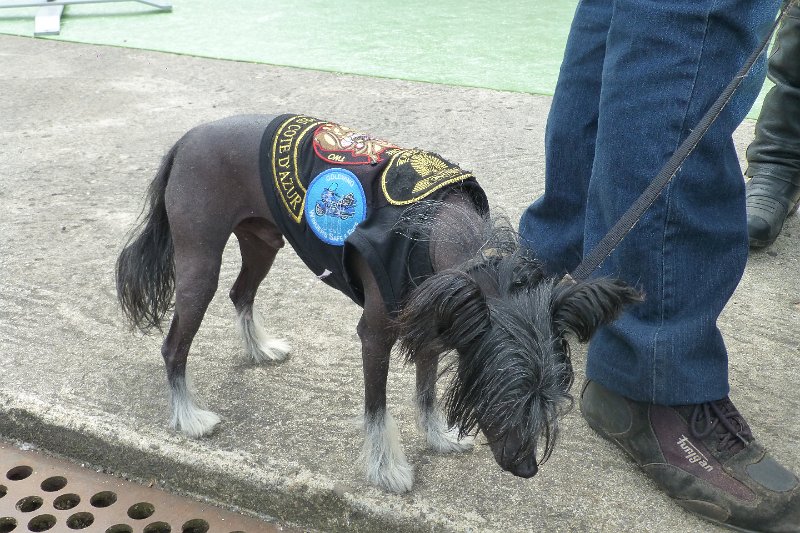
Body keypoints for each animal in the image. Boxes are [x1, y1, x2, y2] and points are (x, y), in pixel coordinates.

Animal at [116, 113, 641, 493]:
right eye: (502, 394)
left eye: (548, 400)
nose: (527, 467)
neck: (432, 230)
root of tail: (186, 138)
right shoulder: (376, 334)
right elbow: (377, 409)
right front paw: (387, 470)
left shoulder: (436, 321)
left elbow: (426, 392)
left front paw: (438, 438)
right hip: (199, 265)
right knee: (174, 345)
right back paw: (188, 417)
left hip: (264, 243)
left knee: (240, 293)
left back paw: (258, 349)